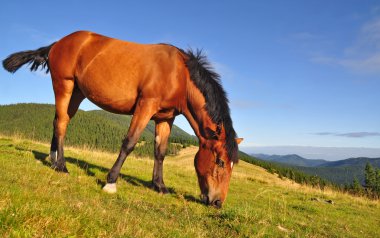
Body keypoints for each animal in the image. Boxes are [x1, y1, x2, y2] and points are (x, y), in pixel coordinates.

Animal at [2, 30, 243, 207]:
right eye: (221, 162)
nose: (217, 202)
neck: (179, 75)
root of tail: (59, 42)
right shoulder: (145, 106)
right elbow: (130, 143)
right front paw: (110, 181)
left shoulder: (165, 118)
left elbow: (160, 152)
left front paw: (159, 186)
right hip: (64, 84)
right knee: (61, 123)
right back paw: (61, 166)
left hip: (77, 92)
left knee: (59, 120)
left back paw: (52, 160)